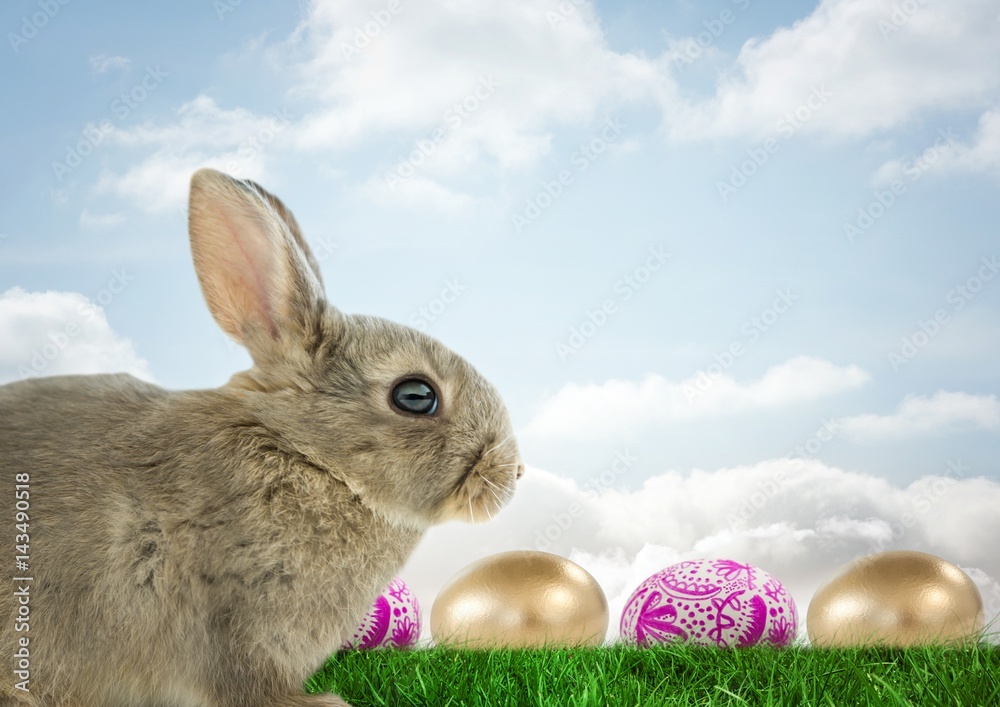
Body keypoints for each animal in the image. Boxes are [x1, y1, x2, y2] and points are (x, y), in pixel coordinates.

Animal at [0, 169, 528, 704]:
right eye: (416, 395)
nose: (513, 472)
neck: (309, 456)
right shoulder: (231, 619)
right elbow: (245, 682)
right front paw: (326, 702)